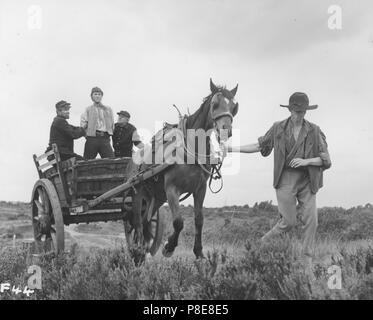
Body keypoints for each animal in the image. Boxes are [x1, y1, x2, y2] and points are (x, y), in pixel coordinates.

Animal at [128, 78, 238, 260]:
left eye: (234, 107)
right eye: (215, 104)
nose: (226, 130)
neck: (190, 150)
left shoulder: (200, 189)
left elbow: (199, 220)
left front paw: (199, 251)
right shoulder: (172, 189)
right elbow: (178, 222)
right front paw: (169, 247)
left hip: (157, 197)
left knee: (146, 221)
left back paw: (142, 250)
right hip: (139, 193)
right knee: (137, 222)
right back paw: (137, 250)